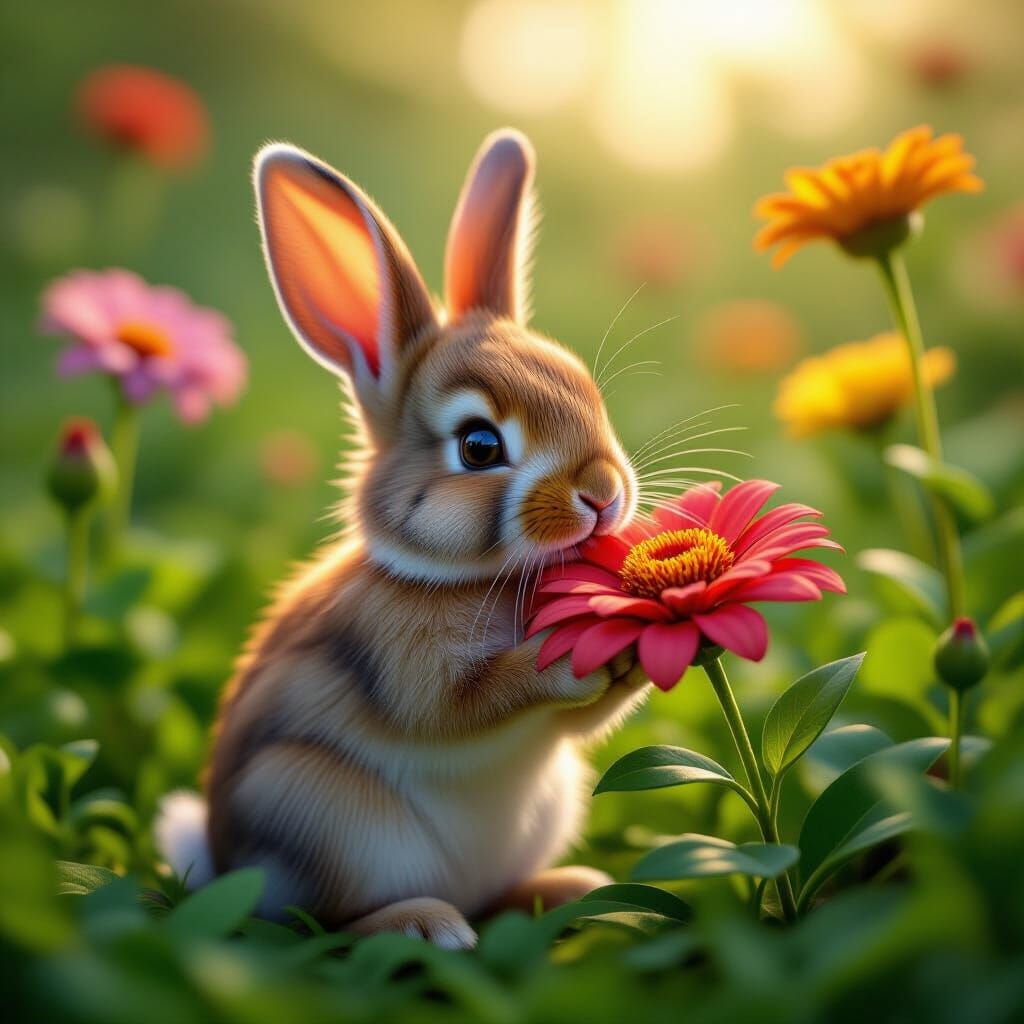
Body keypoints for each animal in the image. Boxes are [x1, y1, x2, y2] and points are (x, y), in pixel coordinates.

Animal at [156, 128, 649, 950]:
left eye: (588, 392)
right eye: (479, 446)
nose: (604, 495)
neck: (467, 575)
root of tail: (222, 862)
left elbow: (584, 721)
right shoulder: (401, 659)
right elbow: (464, 701)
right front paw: (562, 660)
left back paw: (574, 890)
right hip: (316, 811)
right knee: (323, 923)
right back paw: (426, 925)